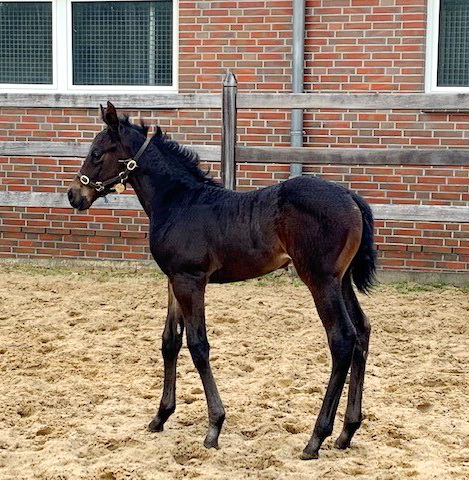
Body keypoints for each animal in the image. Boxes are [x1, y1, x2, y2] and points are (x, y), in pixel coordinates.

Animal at [68, 103, 376, 460]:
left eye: (97, 153)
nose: (74, 195)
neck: (178, 202)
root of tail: (352, 197)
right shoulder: (174, 279)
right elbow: (170, 341)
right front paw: (160, 416)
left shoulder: (191, 280)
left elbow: (198, 345)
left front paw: (214, 427)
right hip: (341, 281)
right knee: (362, 331)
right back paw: (346, 432)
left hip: (321, 280)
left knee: (342, 339)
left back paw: (316, 439)